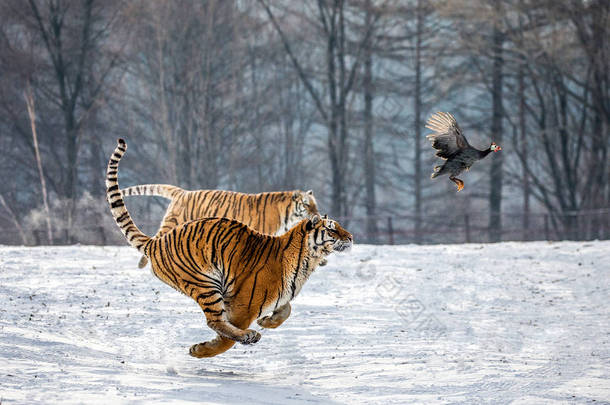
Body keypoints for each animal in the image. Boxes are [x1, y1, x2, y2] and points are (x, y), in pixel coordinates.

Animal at [119, 184, 318, 268]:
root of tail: (182, 192)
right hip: (172, 223)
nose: (317, 215)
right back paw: (142, 263)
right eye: (307, 205)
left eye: (315, 204)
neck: (288, 216)